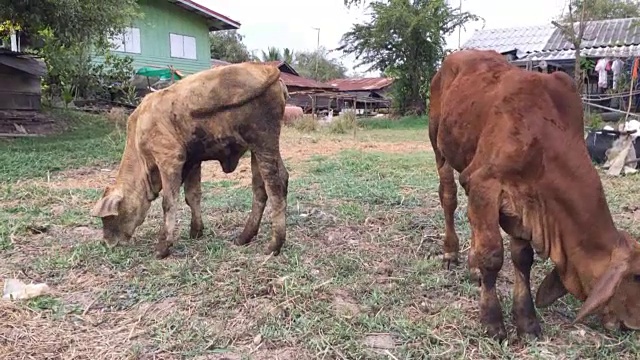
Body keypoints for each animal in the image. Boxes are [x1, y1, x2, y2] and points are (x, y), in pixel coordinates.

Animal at [90, 62, 290, 258]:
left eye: (108, 217)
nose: (106, 243)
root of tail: (267, 69)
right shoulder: (192, 161)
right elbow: (192, 195)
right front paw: (196, 231)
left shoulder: (170, 159)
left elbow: (169, 202)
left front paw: (162, 248)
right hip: (257, 149)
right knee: (265, 186)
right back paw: (244, 237)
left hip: (263, 141)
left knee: (274, 188)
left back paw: (273, 246)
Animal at [428, 49, 640, 342]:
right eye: (637, 276)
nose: (634, 326)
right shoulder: (483, 183)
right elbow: (492, 255)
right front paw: (493, 321)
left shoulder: (525, 202)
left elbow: (523, 259)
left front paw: (527, 321)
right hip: (439, 148)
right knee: (448, 197)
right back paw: (451, 253)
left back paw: (472, 267)